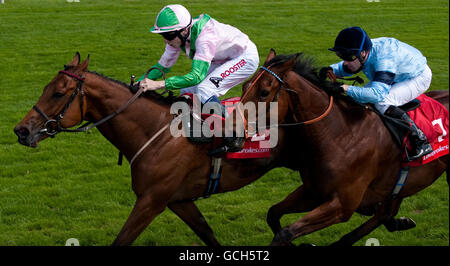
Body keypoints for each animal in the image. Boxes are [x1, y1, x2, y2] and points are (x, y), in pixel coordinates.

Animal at [14, 52, 304, 245]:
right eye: (45, 88)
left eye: (59, 93)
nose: (21, 130)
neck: (159, 132)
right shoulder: (178, 199)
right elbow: (206, 232)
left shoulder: (151, 200)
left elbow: (121, 240)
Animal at [227, 49, 448, 245]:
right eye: (244, 85)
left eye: (264, 92)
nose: (231, 131)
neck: (339, 135)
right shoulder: (313, 192)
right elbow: (273, 214)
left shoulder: (342, 205)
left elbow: (286, 233)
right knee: (385, 213)